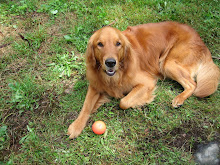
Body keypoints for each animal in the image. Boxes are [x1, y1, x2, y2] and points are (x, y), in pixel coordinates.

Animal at [68, 21, 219, 139]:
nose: (110, 62)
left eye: (118, 44)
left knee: (192, 84)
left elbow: (123, 101)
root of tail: (200, 40)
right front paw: (76, 126)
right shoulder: (95, 85)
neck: (115, 75)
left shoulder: (147, 81)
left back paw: (179, 99)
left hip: (167, 63)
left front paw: (140, 103)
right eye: (100, 44)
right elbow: (86, 106)